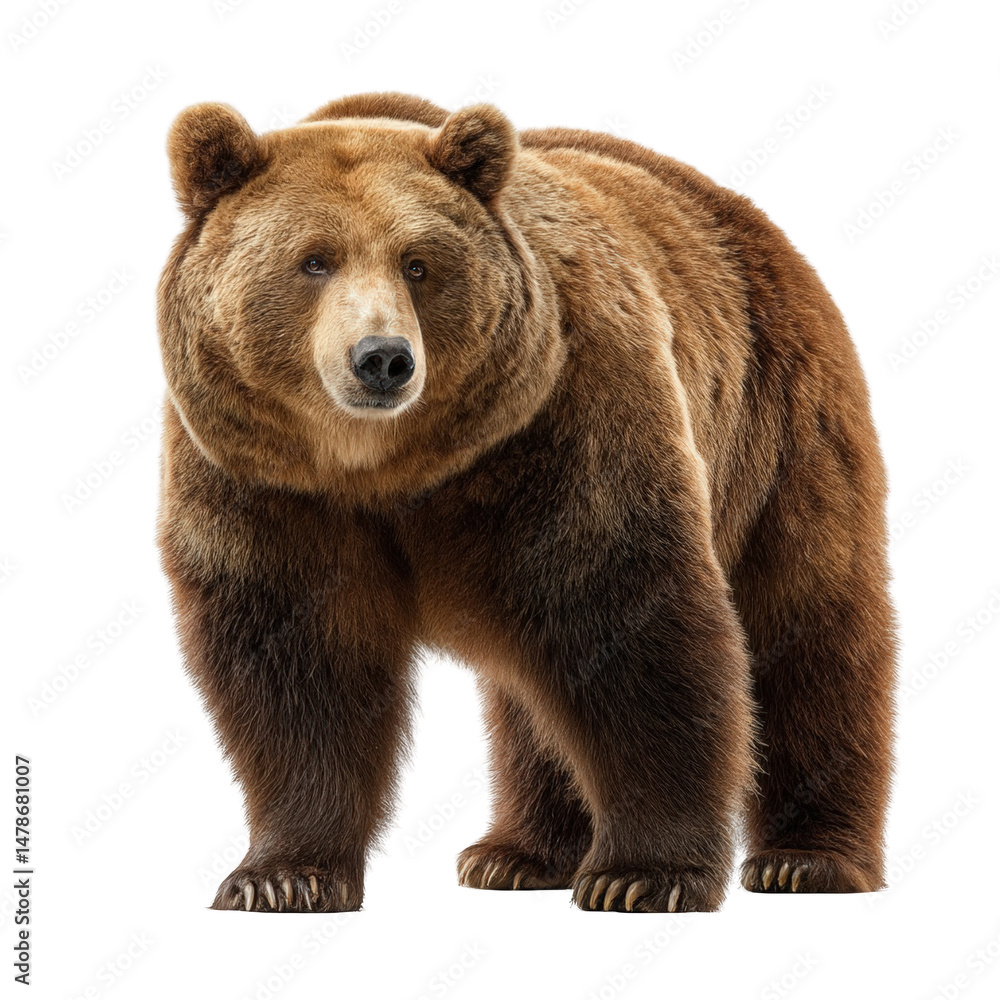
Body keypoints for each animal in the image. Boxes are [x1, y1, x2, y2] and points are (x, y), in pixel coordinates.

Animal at [156, 91, 896, 913]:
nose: (382, 359)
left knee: (808, 627)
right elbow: (297, 666)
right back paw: (517, 854)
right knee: (530, 695)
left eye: (418, 263)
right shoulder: (264, 480)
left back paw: (808, 860)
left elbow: (629, 626)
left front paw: (643, 874)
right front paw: (282, 874)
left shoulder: (564, 423)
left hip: (775, 428)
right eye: (314, 260)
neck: (386, 468)